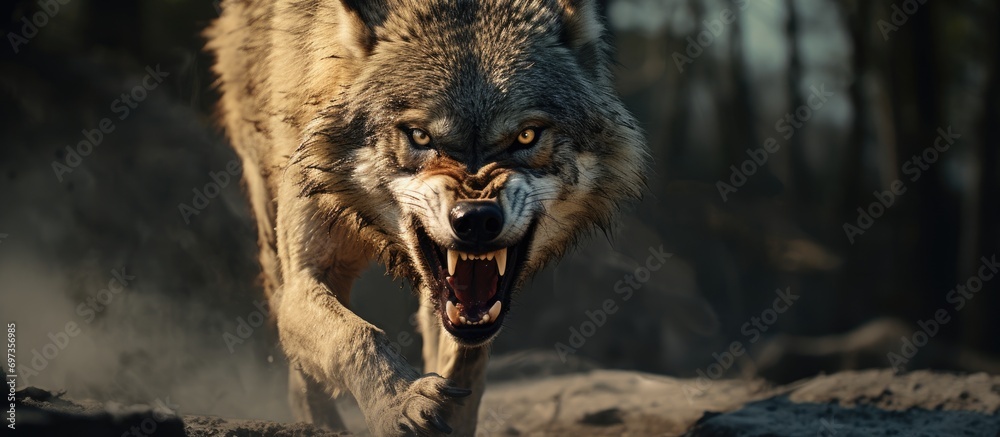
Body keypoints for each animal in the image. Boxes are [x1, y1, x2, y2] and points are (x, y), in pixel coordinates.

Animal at [205, 0, 647, 434]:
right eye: (420, 136)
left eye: (526, 136)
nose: (476, 219)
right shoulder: (307, 273)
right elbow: (357, 336)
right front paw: (400, 404)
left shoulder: (468, 314)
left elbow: (465, 365)